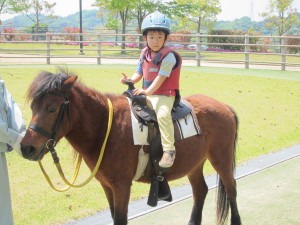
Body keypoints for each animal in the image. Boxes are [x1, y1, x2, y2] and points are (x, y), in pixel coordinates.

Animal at [20, 70, 241, 225]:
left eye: (52, 108)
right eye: (32, 107)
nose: (26, 148)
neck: (105, 128)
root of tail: (224, 107)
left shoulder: (122, 185)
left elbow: (120, 219)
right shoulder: (107, 185)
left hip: (221, 159)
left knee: (231, 190)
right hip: (194, 164)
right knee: (200, 191)